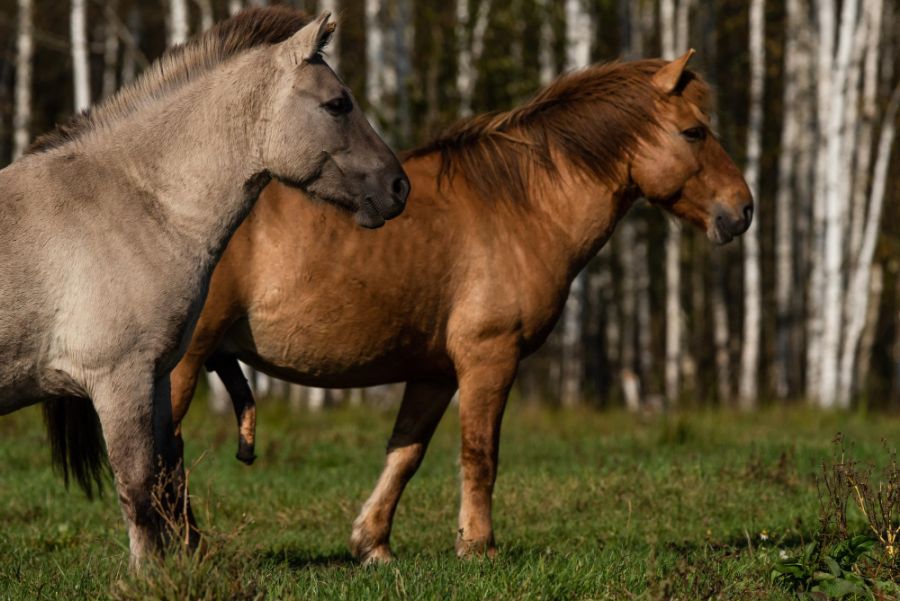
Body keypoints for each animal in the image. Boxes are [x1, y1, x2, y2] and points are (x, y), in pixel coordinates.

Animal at [0, 7, 408, 564]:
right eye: (337, 104)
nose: (398, 187)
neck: (135, 203)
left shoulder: (154, 377)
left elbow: (162, 477)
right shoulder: (119, 378)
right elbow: (137, 484)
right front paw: (147, 572)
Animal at [169, 51, 752, 564]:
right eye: (695, 132)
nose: (742, 209)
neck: (521, 206)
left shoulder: (435, 373)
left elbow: (406, 452)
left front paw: (373, 544)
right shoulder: (488, 358)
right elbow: (479, 453)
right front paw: (477, 546)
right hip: (180, 365)